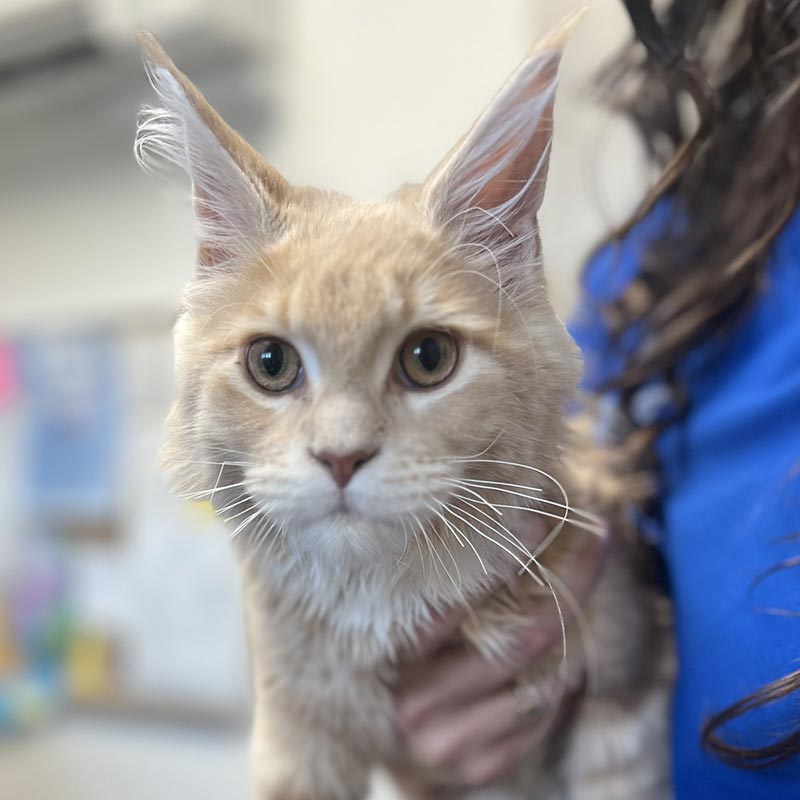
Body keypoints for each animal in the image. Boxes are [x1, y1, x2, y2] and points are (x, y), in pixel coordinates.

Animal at [134, 12, 672, 800]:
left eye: (427, 359)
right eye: (271, 364)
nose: (341, 456)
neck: (377, 603)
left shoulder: (625, 691)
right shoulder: (299, 730)